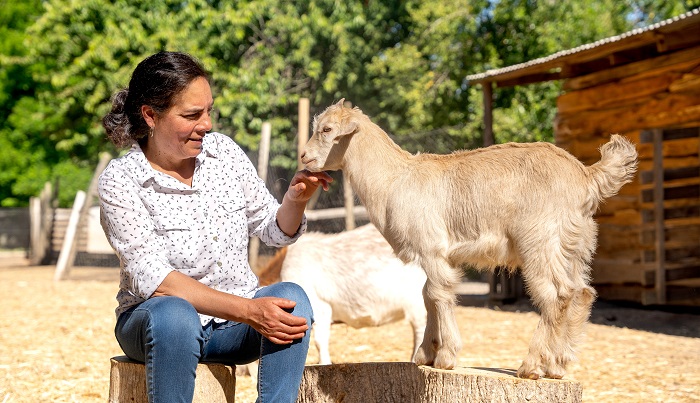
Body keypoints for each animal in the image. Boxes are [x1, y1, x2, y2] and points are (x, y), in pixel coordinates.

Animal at [300, 99, 640, 380]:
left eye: (327, 129)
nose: (303, 156)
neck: (395, 179)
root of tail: (586, 177)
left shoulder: (431, 248)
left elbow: (438, 294)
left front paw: (446, 357)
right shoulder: (437, 255)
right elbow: (427, 296)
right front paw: (425, 354)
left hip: (540, 241)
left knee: (555, 295)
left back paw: (532, 366)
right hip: (576, 245)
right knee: (581, 292)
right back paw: (557, 366)